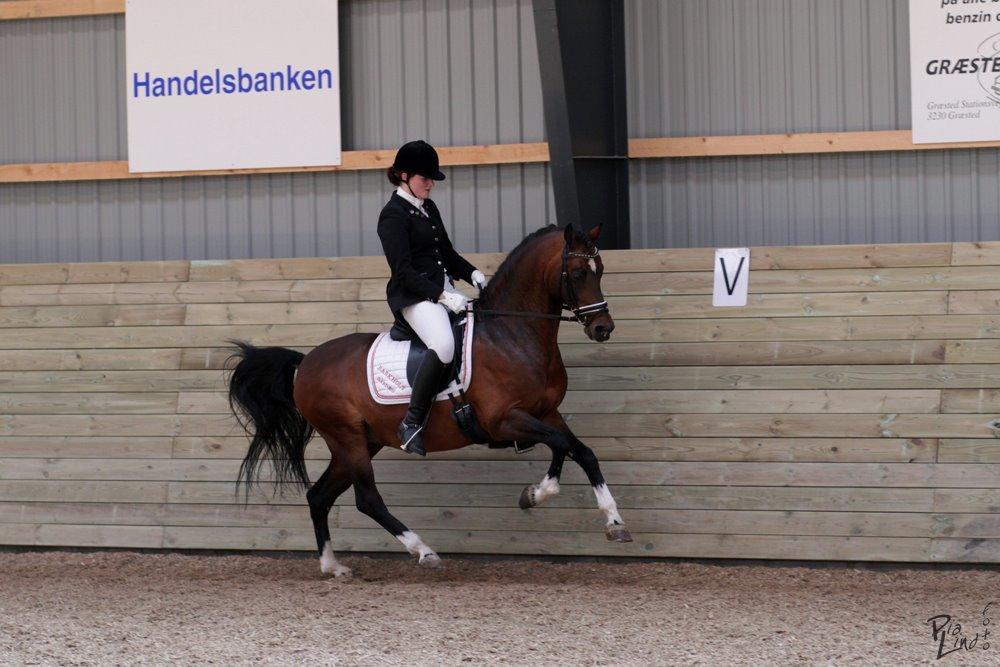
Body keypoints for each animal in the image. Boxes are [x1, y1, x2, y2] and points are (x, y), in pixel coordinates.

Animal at [226, 222, 632, 577]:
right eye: (577, 273)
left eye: (600, 270)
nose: (603, 328)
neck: (511, 334)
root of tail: (306, 362)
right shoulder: (504, 420)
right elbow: (564, 445)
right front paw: (545, 496)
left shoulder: (546, 413)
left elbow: (578, 450)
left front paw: (599, 517)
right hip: (347, 438)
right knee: (366, 499)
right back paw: (423, 551)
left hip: (358, 442)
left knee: (319, 496)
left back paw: (333, 567)